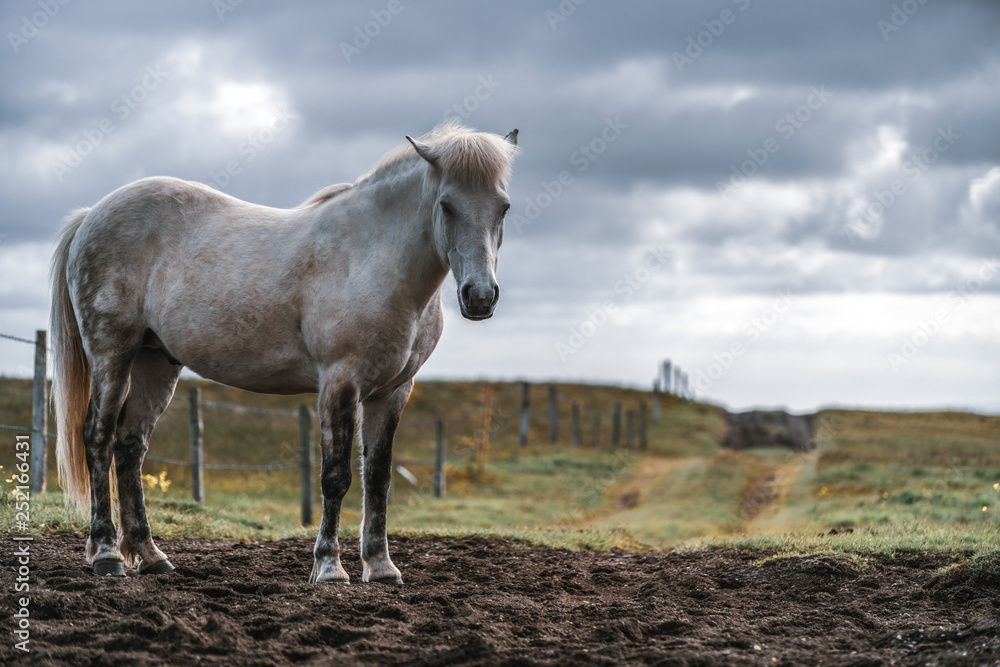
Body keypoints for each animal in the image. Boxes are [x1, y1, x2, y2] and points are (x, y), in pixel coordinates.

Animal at [50, 122, 520, 580]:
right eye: (447, 205)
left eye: (504, 207)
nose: (480, 296)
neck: (372, 257)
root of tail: (91, 215)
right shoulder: (340, 383)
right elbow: (336, 477)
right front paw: (329, 567)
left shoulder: (393, 392)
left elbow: (378, 479)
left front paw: (381, 566)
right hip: (112, 353)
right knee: (98, 437)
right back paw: (107, 554)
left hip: (156, 363)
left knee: (130, 447)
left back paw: (151, 556)